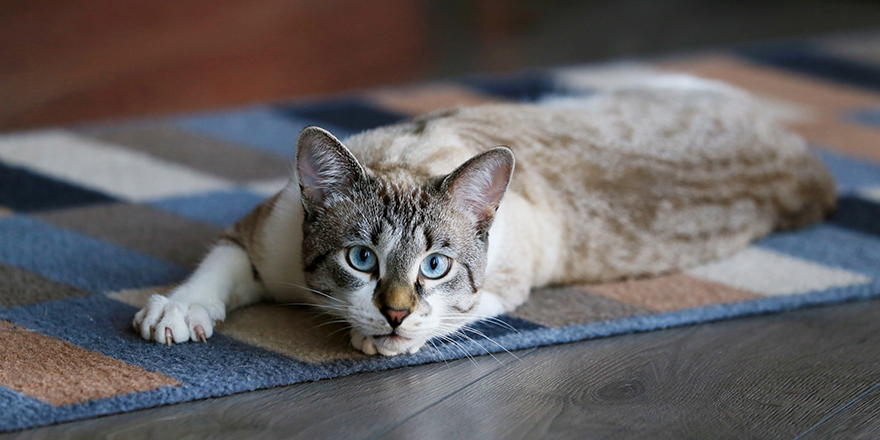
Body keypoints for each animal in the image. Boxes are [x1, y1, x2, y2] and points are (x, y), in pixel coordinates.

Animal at [134, 77, 836, 356]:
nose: (395, 312)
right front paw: (178, 311)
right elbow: (217, 269)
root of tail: (811, 170)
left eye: (435, 267)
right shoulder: (263, 232)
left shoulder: (506, 282)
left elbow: (456, 317)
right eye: (361, 259)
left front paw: (389, 337)